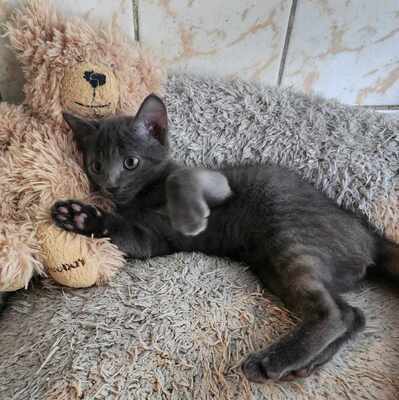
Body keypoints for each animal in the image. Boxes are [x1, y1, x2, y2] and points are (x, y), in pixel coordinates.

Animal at [54, 95, 399, 382]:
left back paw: (274, 361)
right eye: (96, 165)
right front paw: (79, 216)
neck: (142, 197)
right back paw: (305, 365)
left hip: (288, 235)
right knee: (353, 315)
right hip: (274, 266)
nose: (109, 186)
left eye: (130, 162)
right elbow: (124, 231)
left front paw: (190, 217)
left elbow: (181, 179)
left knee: (335, 313)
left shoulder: (213, 185)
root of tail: (369, 233)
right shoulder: (148, 239)